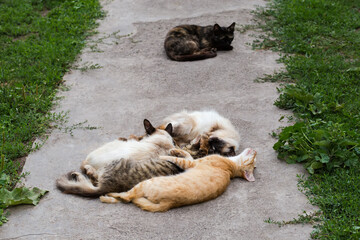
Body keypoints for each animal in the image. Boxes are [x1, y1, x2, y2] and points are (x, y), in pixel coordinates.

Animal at [98, 147, 256, 211]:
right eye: (254, 159)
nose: (256, 151)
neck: (231, 167)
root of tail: (169, 204)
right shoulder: (191, 161)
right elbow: (185, 154)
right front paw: (176, 150)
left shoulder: (191, 163)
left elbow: (176, 158)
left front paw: (164, 156)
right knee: (127, 198)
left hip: (145, 183)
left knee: (127, 197)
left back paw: (106, 196)